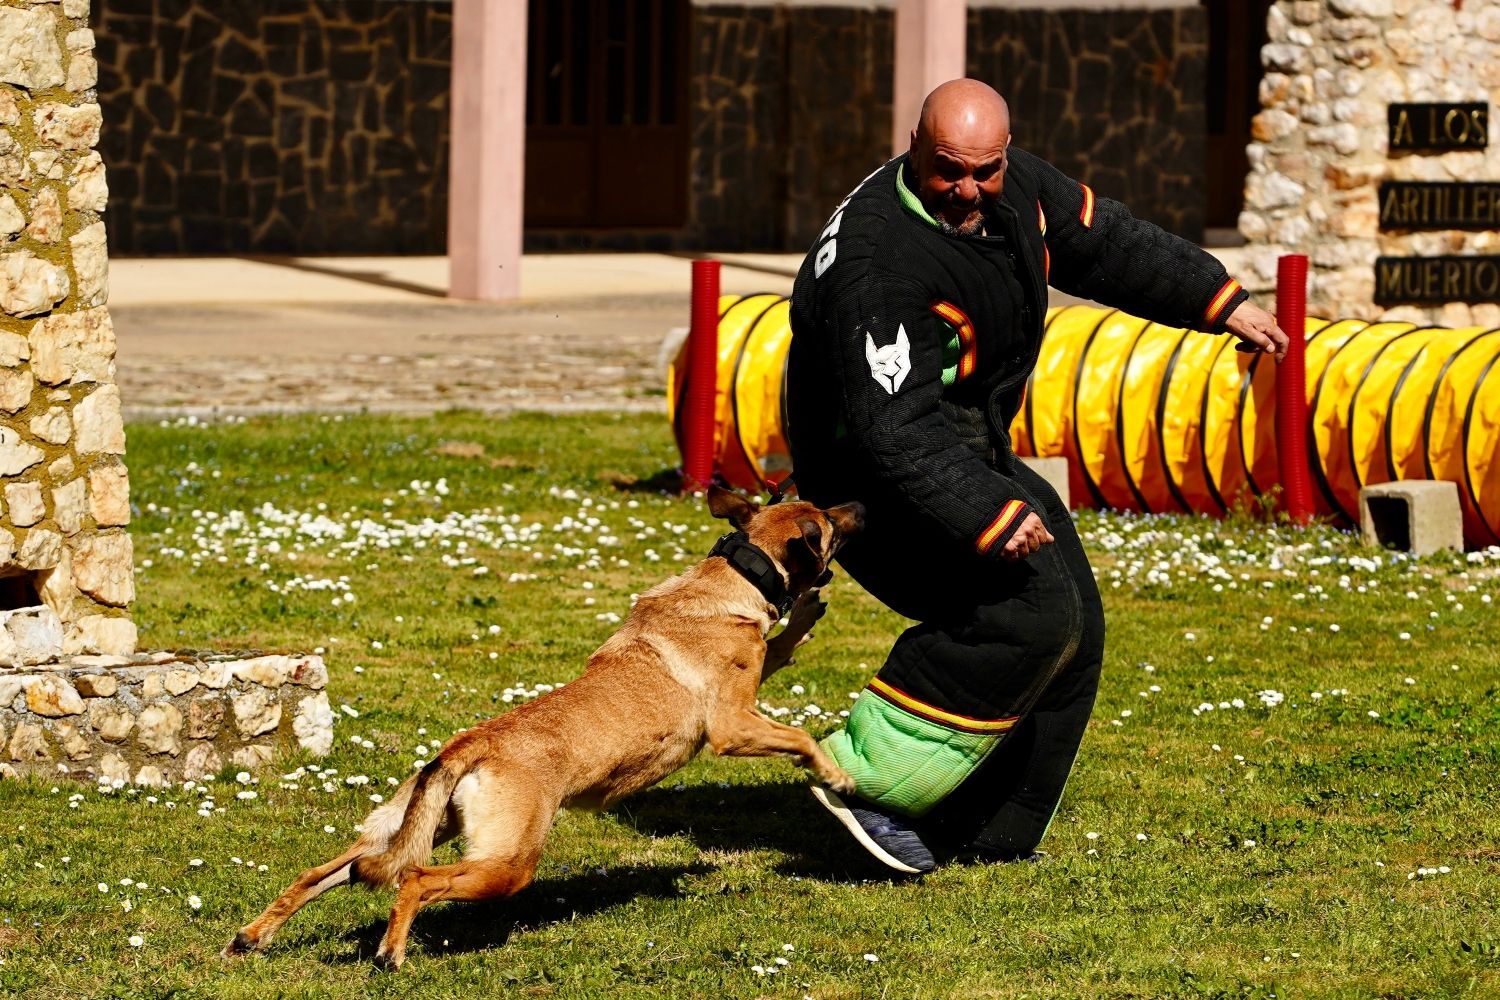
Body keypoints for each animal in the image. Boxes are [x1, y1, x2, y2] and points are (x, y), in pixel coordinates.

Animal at [217, 485, 864, 971]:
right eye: (828, 522)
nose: (861, 505)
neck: (736, 575)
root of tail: (471, 744)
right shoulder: (731, 723)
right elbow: (801, 737)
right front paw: (837, 778)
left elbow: (784, 645)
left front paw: (805, 616)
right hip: (507, 862)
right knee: (416, 881)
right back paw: (389, 954)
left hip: (412, 829)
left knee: (327, 871)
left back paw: (253, 936)